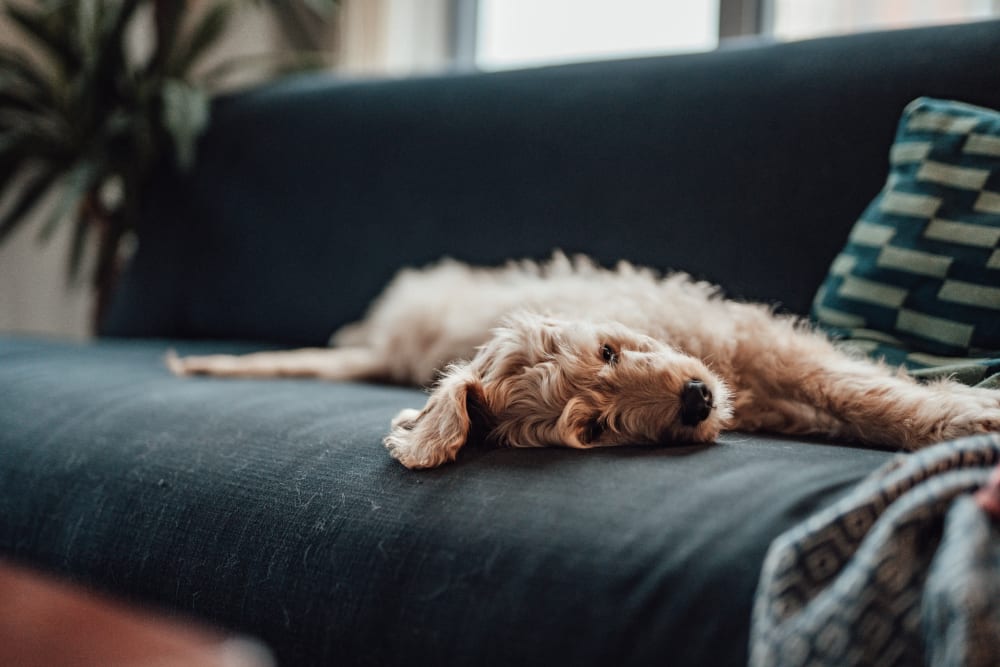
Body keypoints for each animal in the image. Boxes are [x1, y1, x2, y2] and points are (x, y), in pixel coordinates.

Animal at [170, 252, 1000, 470]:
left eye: (607, 350)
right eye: (594, 429)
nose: (696, 399)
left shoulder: (761, 339)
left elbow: (861, 389)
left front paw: (966, 411)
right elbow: (856, 401)